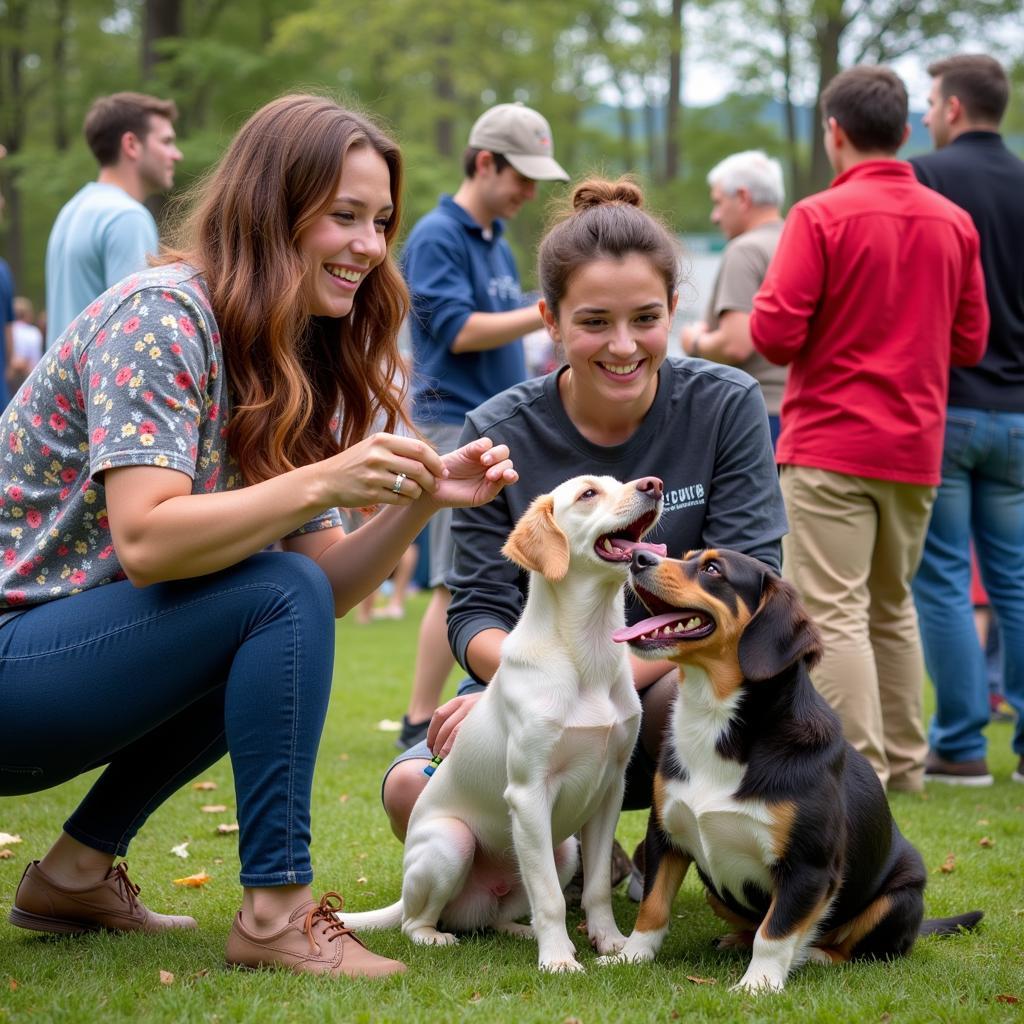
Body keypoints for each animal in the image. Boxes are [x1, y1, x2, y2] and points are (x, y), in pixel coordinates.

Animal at [339, 475, 667, 970]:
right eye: (588, 494)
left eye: (620, 482)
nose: (655, 485)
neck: (586, 651)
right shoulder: (529, 793)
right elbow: (550, 898)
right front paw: (558, 961)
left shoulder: (610, 789)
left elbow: (593, 891)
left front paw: (610, 943)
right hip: (451, 843)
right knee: (416, 922)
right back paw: (437, 937)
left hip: (562, 849)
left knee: (500, 914)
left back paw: (520, 931)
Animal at [598, 552, 983, 991]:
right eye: (690, 556)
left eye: (713, 569)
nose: (639, 556)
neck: (716, 722)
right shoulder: (665, 837)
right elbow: (653, 909)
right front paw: (630, 957)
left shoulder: (807, 866)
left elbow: (776, 930)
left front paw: (757, 985)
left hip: (898, 895)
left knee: (849, 947)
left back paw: (814, 954)